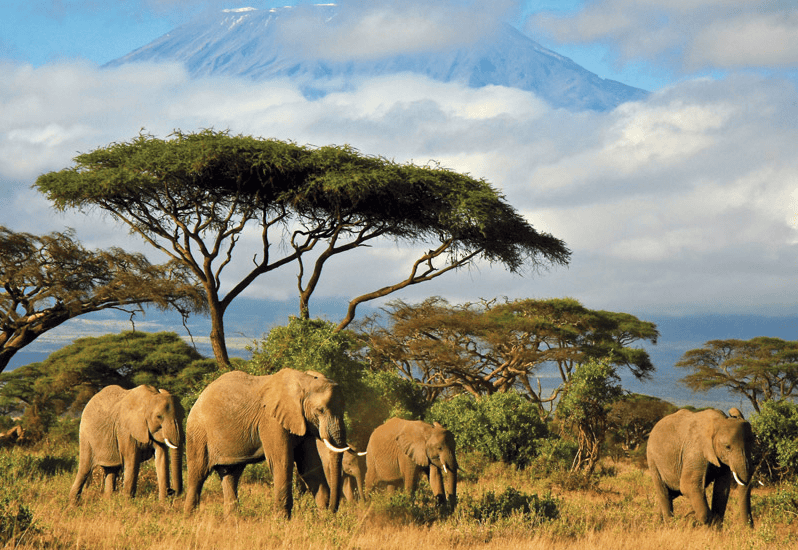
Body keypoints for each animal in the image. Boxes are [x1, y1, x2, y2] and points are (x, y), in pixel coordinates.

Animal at [183, 368, 350, 518]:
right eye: (320, 410)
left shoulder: (304, 422)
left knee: (231, 475)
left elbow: (309, 467)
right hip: (198, 433)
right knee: (198, 473)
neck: (303, 381)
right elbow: (282, 462)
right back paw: (190, 518)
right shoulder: (271, 420)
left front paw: (323, 519)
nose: (332, 510)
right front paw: (281, 521)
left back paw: (232, 520)